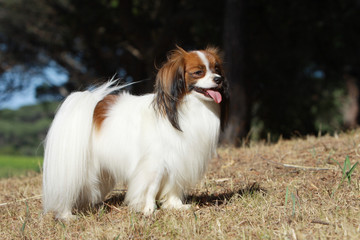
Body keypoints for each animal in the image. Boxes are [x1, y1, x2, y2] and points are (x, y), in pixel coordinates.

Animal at [41, 46, 228, 220]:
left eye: (217, 69)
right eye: (198, 72)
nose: (218, 79)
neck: (183, 108)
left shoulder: (177, 159)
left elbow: (173, 186)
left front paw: (176, 205)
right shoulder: (154, 163)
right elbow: (151, 188)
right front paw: (148, 209)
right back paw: (67, 216)